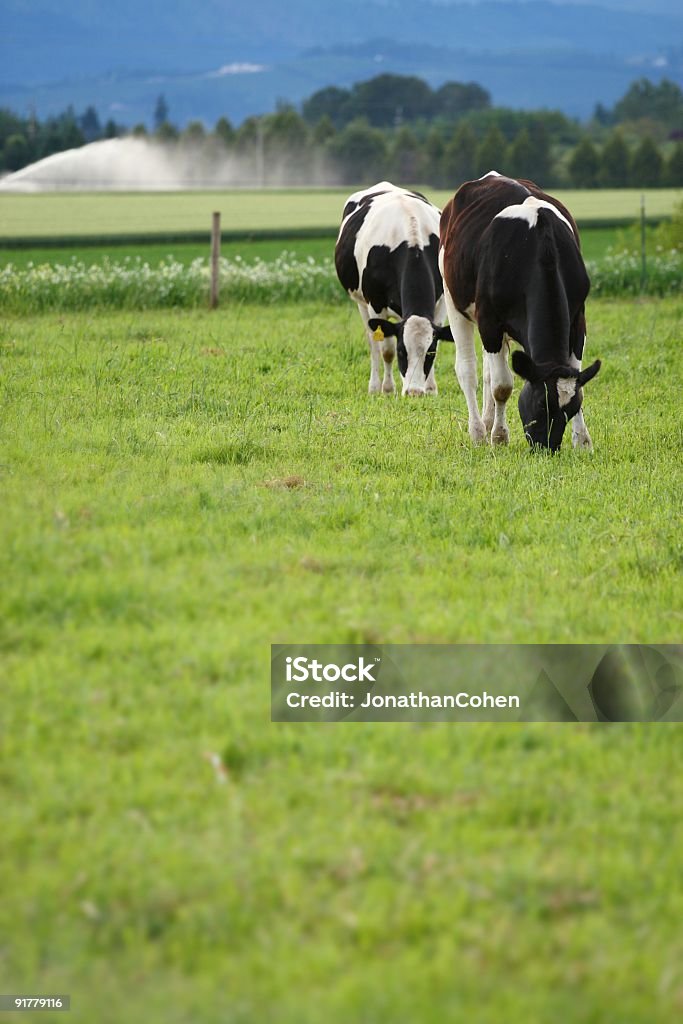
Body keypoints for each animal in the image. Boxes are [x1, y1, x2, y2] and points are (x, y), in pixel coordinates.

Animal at [335, 182, 454, 393]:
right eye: (401, 351)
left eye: (429, 352)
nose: (414, 392)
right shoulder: (375, 303)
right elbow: (386, 350)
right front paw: (388, 389)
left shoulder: (440, 303)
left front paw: (431, 388)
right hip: (361, 303)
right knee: (372, 343)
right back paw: (374, 386)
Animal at [440, 169, 602, 450]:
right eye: (540, 404)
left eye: (569, 411)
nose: (547, 447)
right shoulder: (489, 320)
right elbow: (502, 386)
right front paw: (499, 437)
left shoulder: (578, 318)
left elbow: (578, 378)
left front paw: (583, 441)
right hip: (454, 299)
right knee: (468, 370)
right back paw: (478, 432)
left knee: (487, 372)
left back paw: (487, 422)